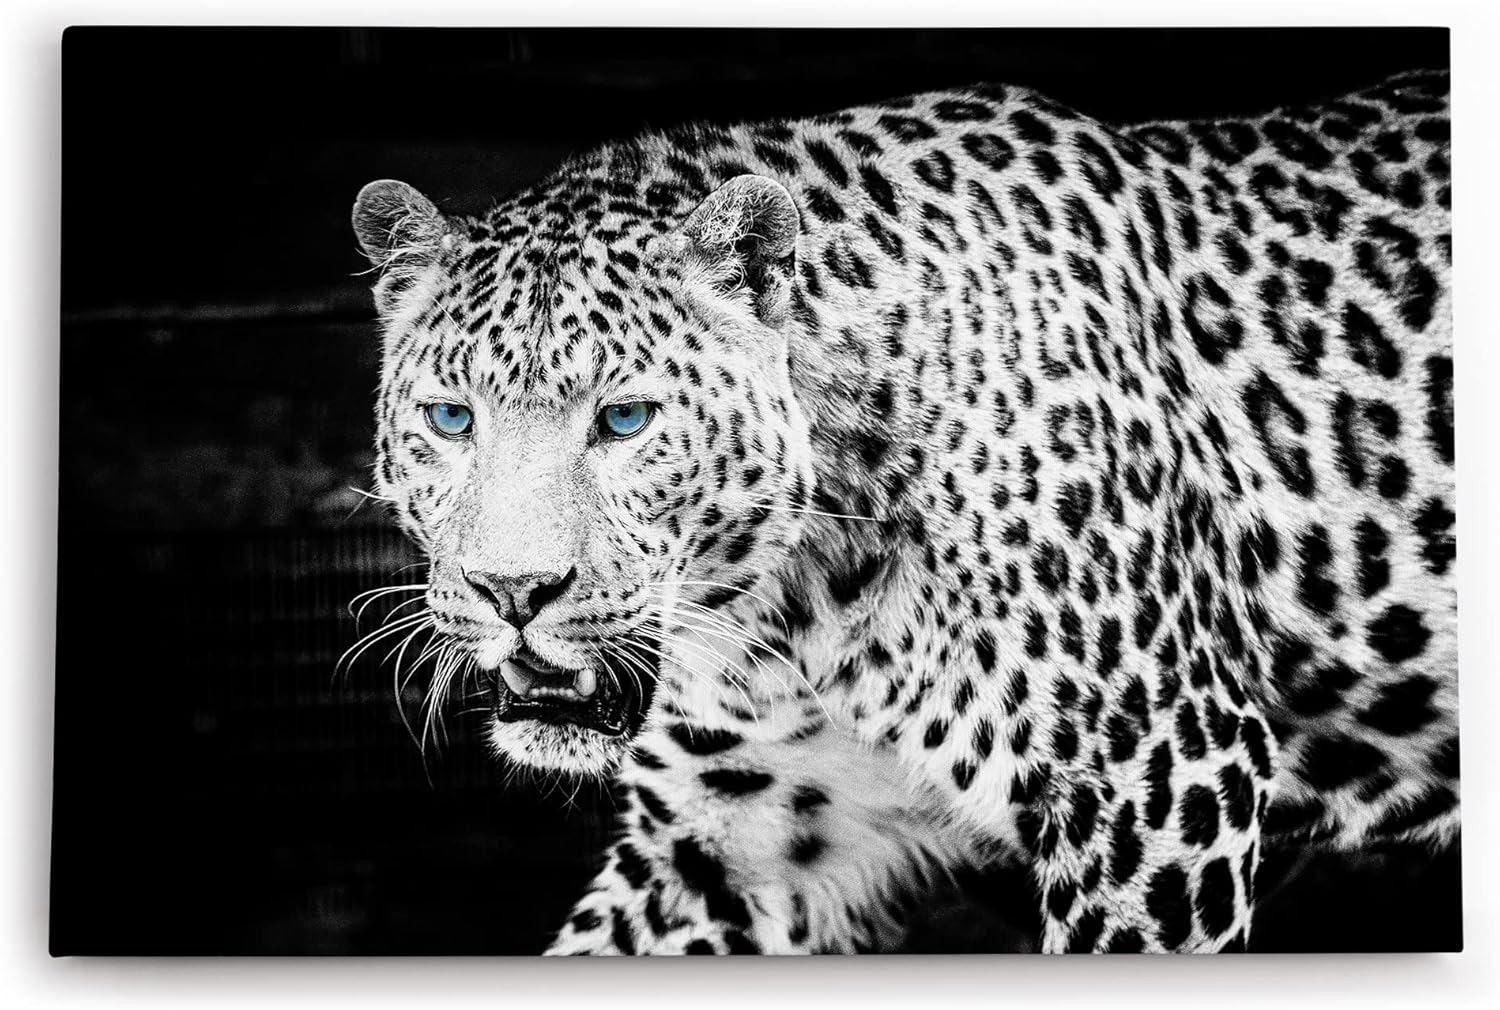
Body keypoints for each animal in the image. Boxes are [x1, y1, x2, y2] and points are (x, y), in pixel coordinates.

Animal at [348, 68, 1456, 954]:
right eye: (451, 418)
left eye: (624, 418)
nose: (513, 591)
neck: (790, 613)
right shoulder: (723, 845)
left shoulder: (1160, 780)